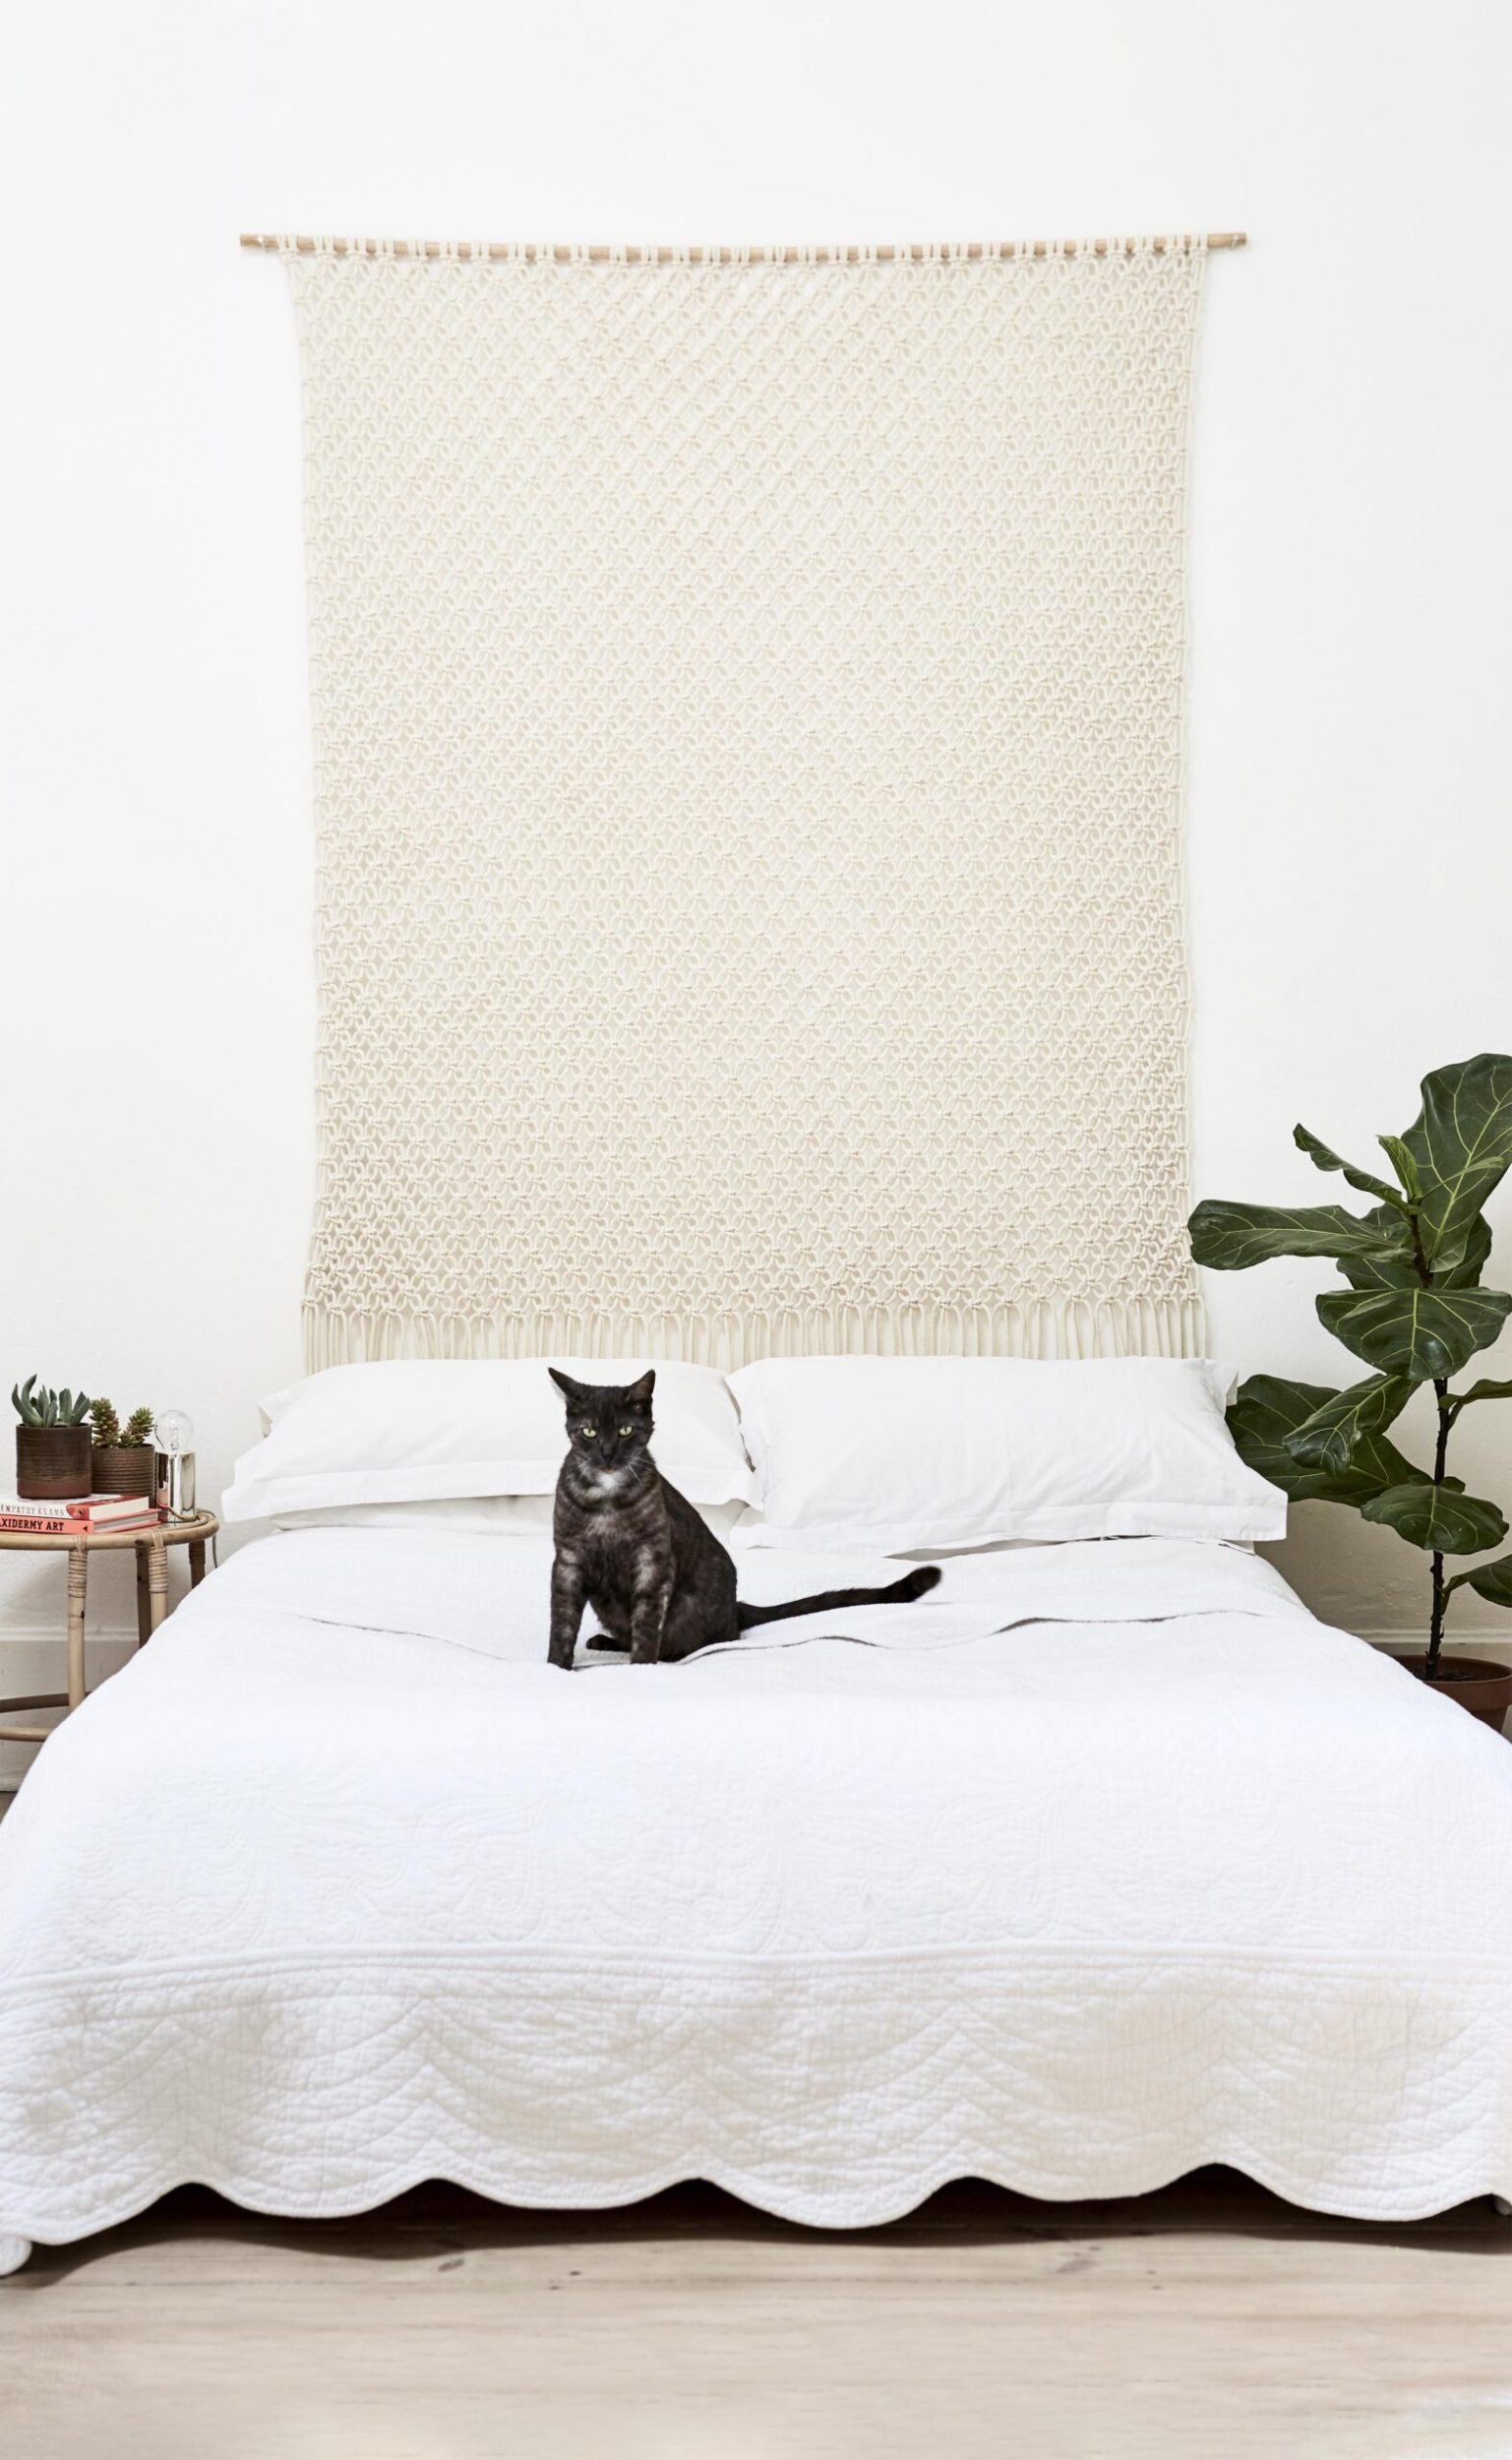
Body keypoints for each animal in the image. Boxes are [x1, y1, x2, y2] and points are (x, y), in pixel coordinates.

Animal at [550, 1368, 938, 1673]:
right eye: (589, 1432)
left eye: (626, 1431)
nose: (607, 1454)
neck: (606, 1501)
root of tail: (735, 1609)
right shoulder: (568, 1561)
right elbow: (562, 1621)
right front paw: (555, 1667)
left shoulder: (652, 1562)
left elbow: (647, 1622)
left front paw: (642, 1668)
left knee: (703, 1640)